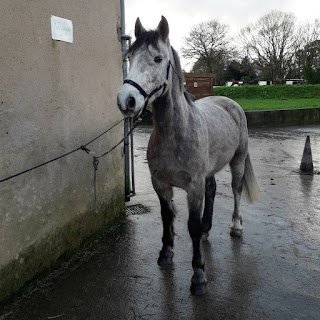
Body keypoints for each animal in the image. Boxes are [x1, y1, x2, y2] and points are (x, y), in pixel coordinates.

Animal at [117, 16, 260, 296]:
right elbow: (167, 217)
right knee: (213, 189)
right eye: (130, 56)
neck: (176, 132)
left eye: (158, 58)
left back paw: (236, 227)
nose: (126, 100)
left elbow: (191, 226)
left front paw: (198, 275)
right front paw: (165, 253)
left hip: (237, 160)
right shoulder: (161, 184)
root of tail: (230, 103)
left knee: (236, 189)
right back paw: (207, 228)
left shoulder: (193, 187)